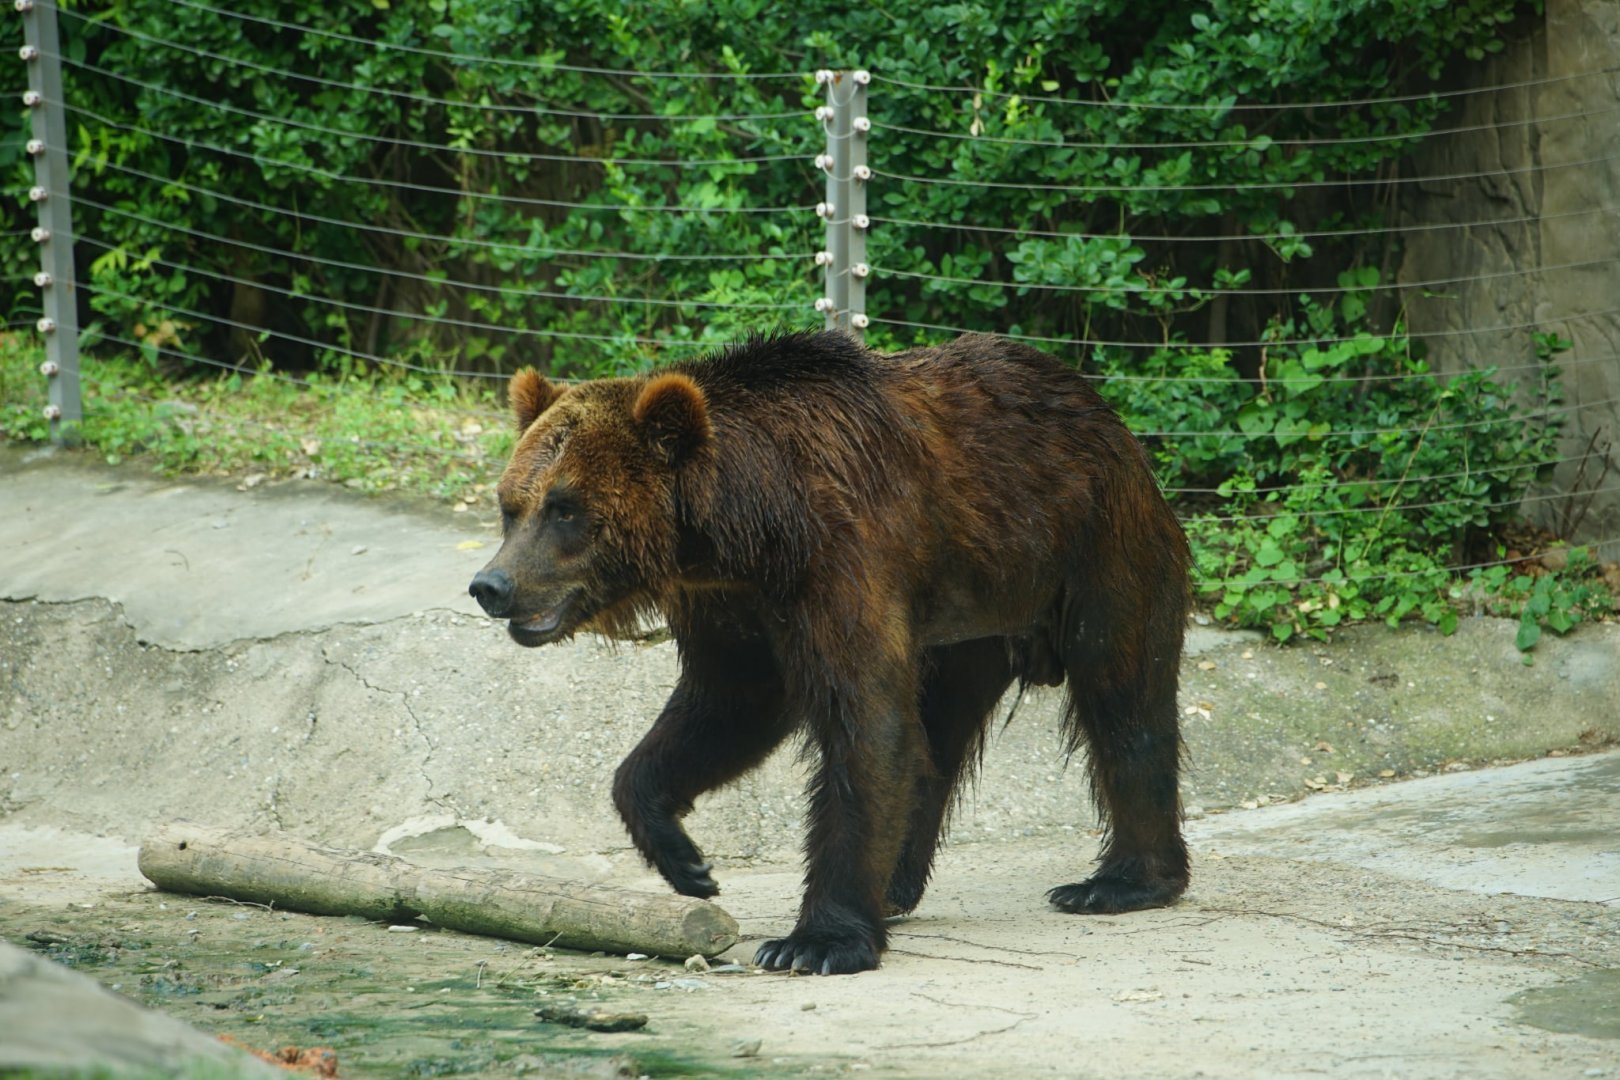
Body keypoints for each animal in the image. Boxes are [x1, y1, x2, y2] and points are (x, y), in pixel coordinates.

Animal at [469, 330, 1191, 975]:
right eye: (511, 505)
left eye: (565, 508)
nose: (491, 585)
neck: (750, 528)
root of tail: (1106, 416)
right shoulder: (734, 604)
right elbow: (730, 706)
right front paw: (686, 859)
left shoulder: (843, 560)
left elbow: (864, 726)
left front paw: (816, 941)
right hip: (966, 615)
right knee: (942, 728)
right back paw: (896, 884)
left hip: (1093, 546)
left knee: (1122, 696)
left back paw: (1120, 881)